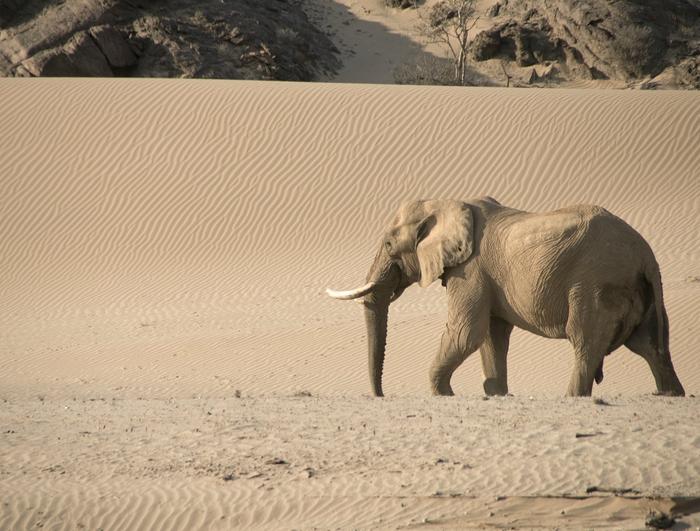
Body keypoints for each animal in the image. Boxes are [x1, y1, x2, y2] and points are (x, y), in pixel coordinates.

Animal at [326, 197, 684, 396]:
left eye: (388, 244)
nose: (380, 395)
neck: (447, 204)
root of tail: (646, 255)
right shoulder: (486, 278)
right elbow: (491, 336)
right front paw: (495, 392)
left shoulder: (471, 269)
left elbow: (466, 333)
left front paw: (445, 394)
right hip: (639, 292)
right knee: (651, 348)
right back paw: (670, 394)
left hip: (595, 284)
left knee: (586, 343)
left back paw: (573, 396)